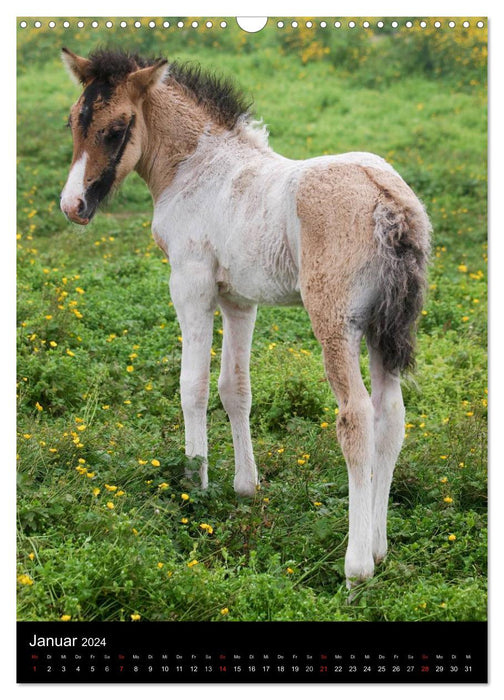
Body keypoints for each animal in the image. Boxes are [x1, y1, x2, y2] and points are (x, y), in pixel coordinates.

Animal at [59, 46, 430, 588]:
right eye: (73, 121)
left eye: (116, 128)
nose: (74, 205)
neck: (198, 168)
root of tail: (389, 201)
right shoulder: (239, 299)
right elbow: (235, 389)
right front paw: (244, 488)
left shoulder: (189, 284)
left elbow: (191, 385)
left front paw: (195, 484)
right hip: (386, 332)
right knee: (391, 419)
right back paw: (380, 550)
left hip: (336, 324)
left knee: (356, 418)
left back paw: (357, 568)